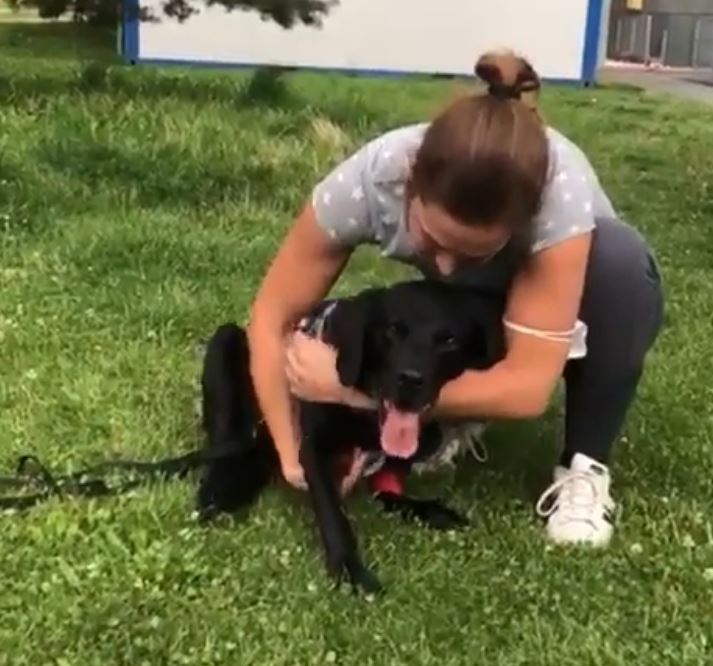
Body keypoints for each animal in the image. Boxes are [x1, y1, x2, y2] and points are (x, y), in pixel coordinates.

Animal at [197, 278, 504, 588]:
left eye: (449, 340)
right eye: (392, 329)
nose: (409, 379)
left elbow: (387, 484)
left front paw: (426, 509)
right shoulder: (312, 449)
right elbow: (333, 515)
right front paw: (348, 568)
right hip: (225, 341)